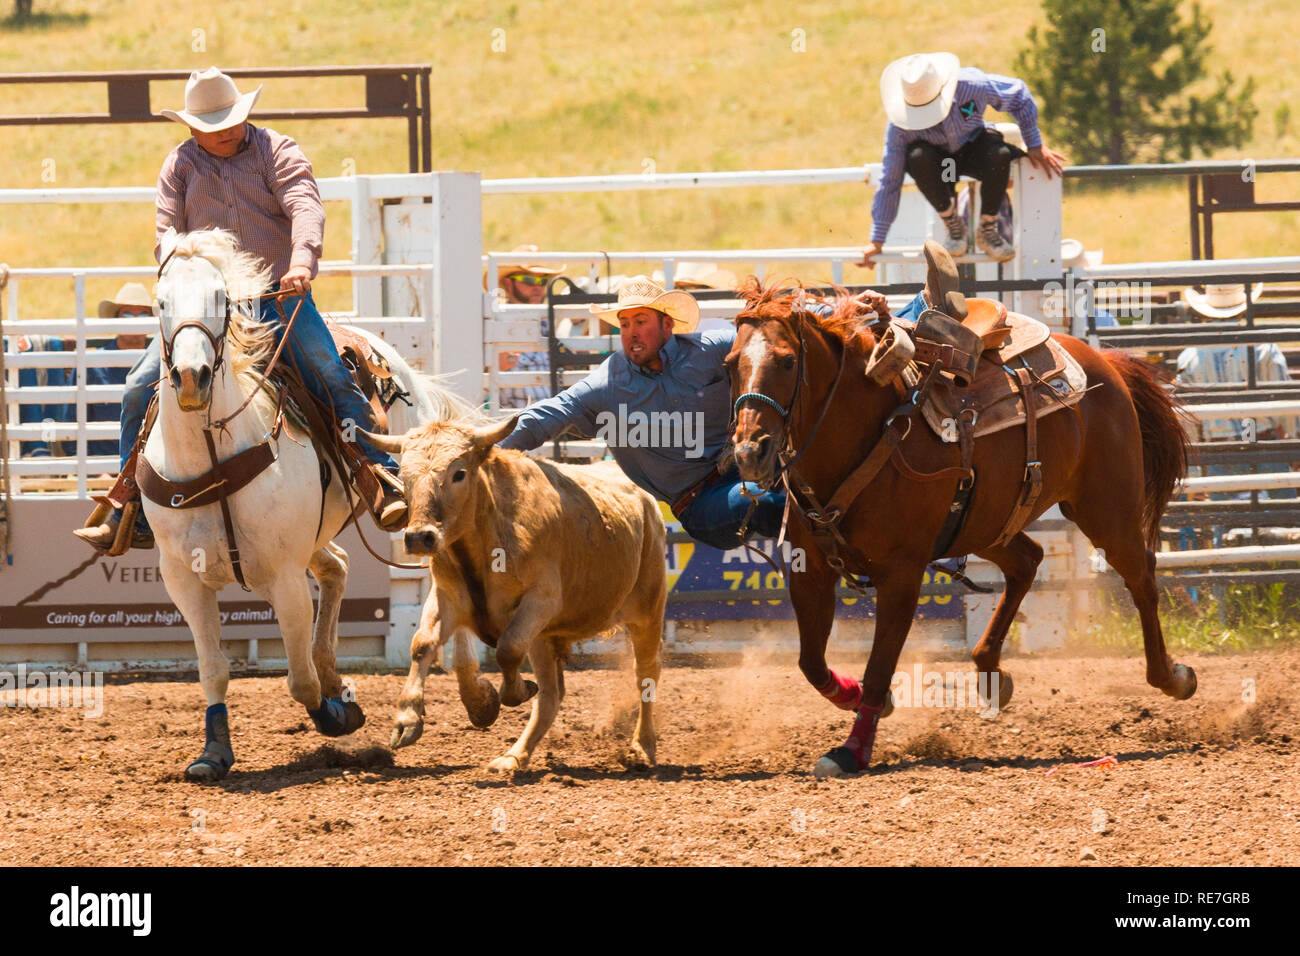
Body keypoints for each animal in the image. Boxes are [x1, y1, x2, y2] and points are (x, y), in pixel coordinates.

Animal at [144, 227, 452, 780]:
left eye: (221, 299)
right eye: (161, 302)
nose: (192, 377)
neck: (213, 455)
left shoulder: (284, 577)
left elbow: (298, 679)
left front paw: (337, 713)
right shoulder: (183, 579)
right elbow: (213, 669)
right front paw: (213, 755)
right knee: (338, 567)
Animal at [728, 274, 1190, 780]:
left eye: (787, 361)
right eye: (730, 364)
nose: (750, 450)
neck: (867, 434)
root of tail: (1104, 361)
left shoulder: (902, 575)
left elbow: (879, 667)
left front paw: (852, 749)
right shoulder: (809, 570)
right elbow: (811, 662)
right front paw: (855, 699)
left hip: (1106, 510)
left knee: (1141, 576)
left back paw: (1172, 677)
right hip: (987, 522)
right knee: (1028, 562)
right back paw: (990, 671)